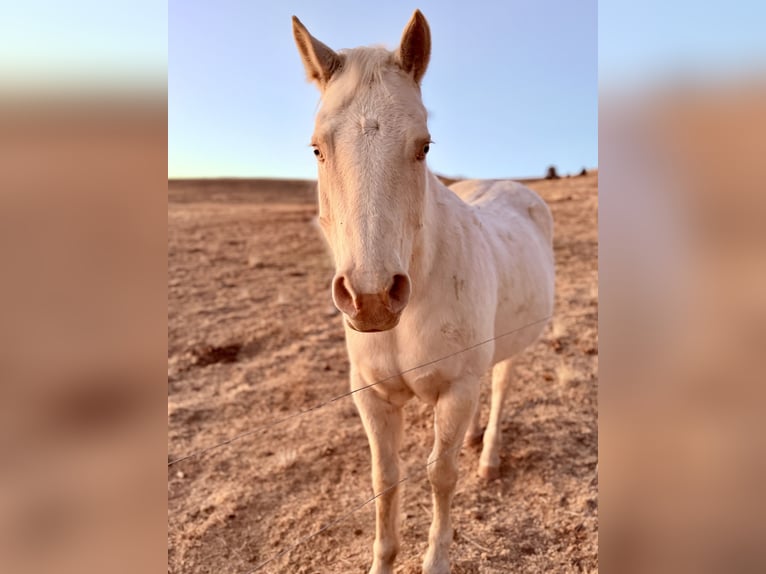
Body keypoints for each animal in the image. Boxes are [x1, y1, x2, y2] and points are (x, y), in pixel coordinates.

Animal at [292, 10, 555, 574]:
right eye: (318, 148)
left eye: (424, 146)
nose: (371, 297)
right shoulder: (371, 396)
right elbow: (385, 479)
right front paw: (382, 560)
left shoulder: (455, 390)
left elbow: (440, 475)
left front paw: (435, 558)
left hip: (512, 348)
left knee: (500, 386)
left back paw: (488, 455)